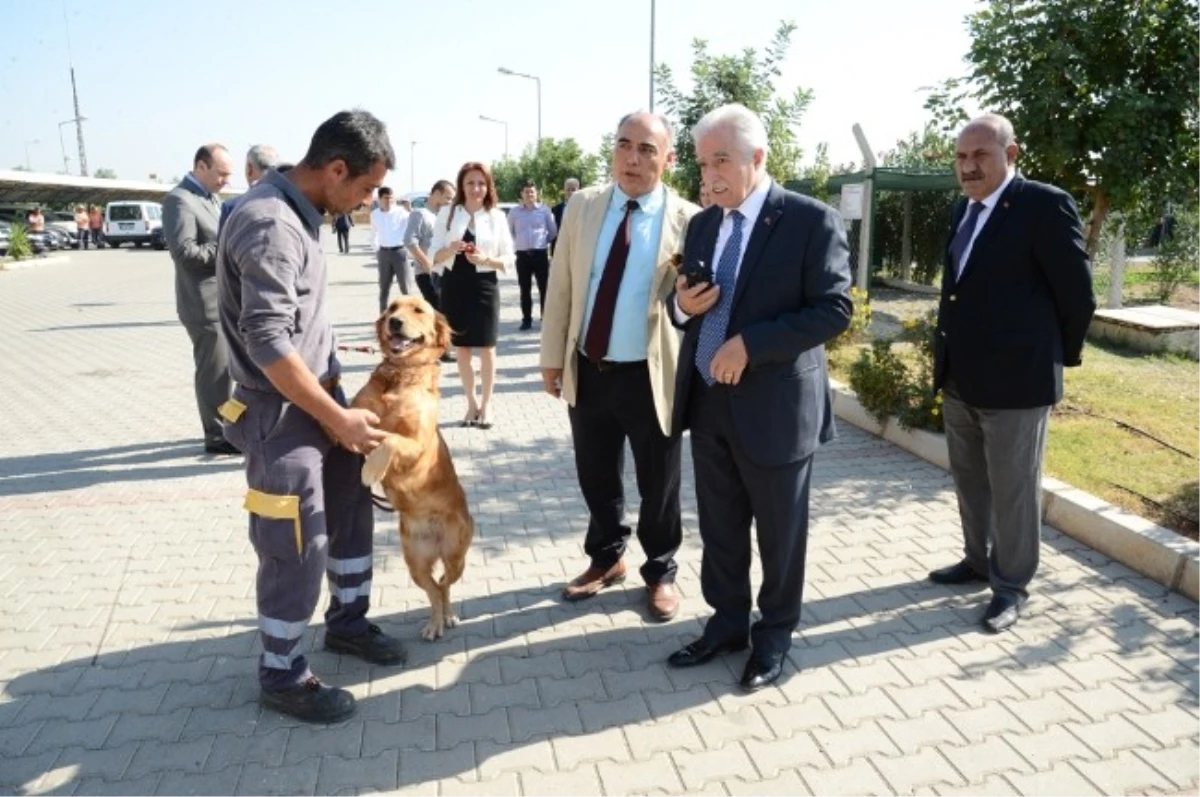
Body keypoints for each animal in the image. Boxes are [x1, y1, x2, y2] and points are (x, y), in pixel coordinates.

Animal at [350, 295, 472, 638]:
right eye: (392, 308)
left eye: (418, 310)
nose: (395, 322)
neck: (401, 375)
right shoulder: (356, 415)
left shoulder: (417, 444)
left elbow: (390, 440)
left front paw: (371, 470)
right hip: (415, 563)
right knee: (433, 588)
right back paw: (435, 622)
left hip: (456, 556)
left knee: (444, 585)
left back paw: (447, 616)